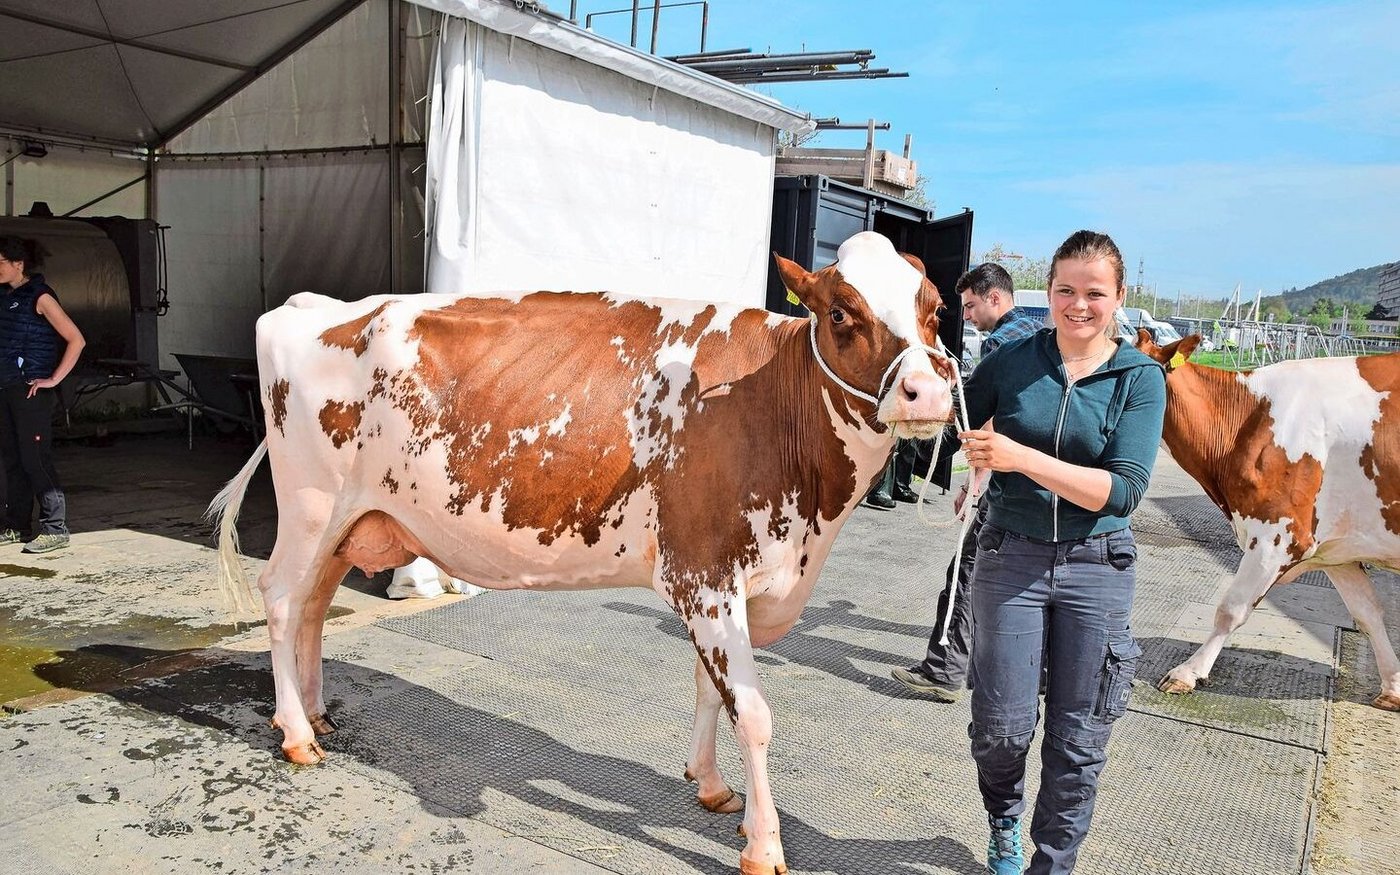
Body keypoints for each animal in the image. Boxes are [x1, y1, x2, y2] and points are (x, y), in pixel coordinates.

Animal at [209, 232, 956, 875]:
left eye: (935, 309)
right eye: (841, 311)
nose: (928, 392)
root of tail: (314, 305)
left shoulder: (722, 580)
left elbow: (708, 690)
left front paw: (710, 785)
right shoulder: (706, 572)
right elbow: (754, 714)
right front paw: (764, 844)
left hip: (350, 522)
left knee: (314, 607)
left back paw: (316, 714)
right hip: (310, 507)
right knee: (283, 600)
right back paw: (295, 733)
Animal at [1135, 329, 1400, 712]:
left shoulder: (1278, 534)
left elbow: (1231, 609)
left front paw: (1188, 672)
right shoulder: (1338, 550)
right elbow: (1369, 614)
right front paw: (1393, 686)